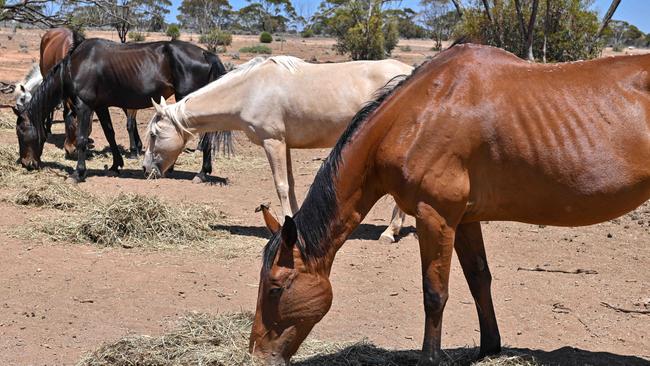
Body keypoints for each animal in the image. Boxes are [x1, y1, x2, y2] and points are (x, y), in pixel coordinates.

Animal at [13, 37, 227, 182]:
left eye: (21, 131)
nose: (26, 164)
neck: (75, 66)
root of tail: (206, 54)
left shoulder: (84, 107)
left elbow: (82, 139)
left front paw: (78, 173)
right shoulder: (100, 107)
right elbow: (110, 134)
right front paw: (116, 165)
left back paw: (200, 173)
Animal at [144, 55, 412, 242]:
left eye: (154, 134)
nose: (146, 167)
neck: (250, 91)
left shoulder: (273, 143)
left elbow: (281, 186)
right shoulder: (285, 145)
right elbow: (290, 185)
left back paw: (389, 232)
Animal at [248, 43, 648, 366]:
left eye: (275, 288)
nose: (258, 355)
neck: (420, 113)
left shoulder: (435, 217)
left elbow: (434, 292)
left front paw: (430, 357)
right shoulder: (465, 219)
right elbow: (479, 278)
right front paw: (489, 347)